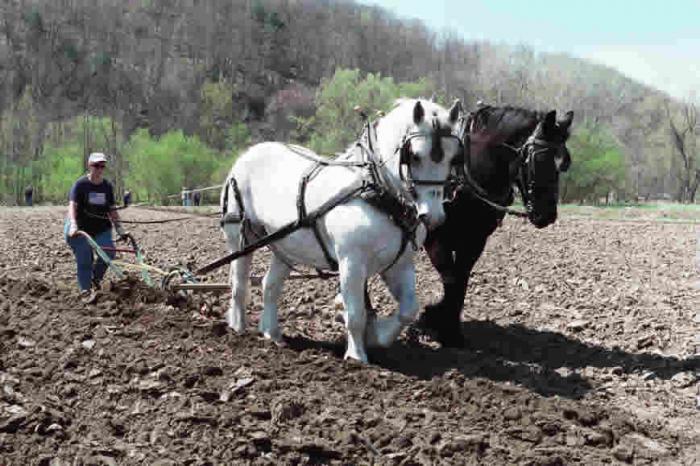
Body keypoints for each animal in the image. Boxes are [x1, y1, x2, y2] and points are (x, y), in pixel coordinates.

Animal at [219, 97, 460, 360]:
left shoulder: (398, 263)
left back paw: (272, 334)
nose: (433, 215)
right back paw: (238, 328)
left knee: (270, 285)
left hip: (285, 247)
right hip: (241, 237)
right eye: (415, 156)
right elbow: (355, 314)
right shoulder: (351, 261)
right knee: (239, 283)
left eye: (452, 158)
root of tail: (247, 155)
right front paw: (357, 356)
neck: (375, 191)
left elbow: (409, 309)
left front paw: (378, 335)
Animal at [422, 104, 576, 346]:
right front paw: (434, 320)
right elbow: (451, 280)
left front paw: (451, 331)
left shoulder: (474, 242)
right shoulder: (436, 240)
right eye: (540, 160)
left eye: (564, 162)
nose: (547, 215)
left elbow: (460, 282)